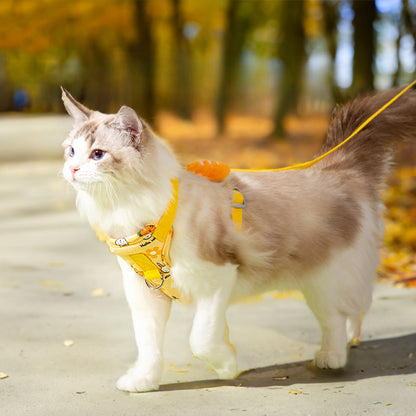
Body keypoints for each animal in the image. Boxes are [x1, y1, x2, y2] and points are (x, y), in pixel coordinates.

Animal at [61, 86, 416, 392]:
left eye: (97, 154)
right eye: (71, 151)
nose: (72, 169)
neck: (143, 216)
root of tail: (335, 166)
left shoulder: (217, 276)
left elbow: (201, 339)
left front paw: (226, 366)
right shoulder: (146, 294)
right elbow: (149, 345)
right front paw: (144, 381)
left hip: (323, 279)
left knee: (337, 318)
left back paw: (332, 358)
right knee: (353, 311)